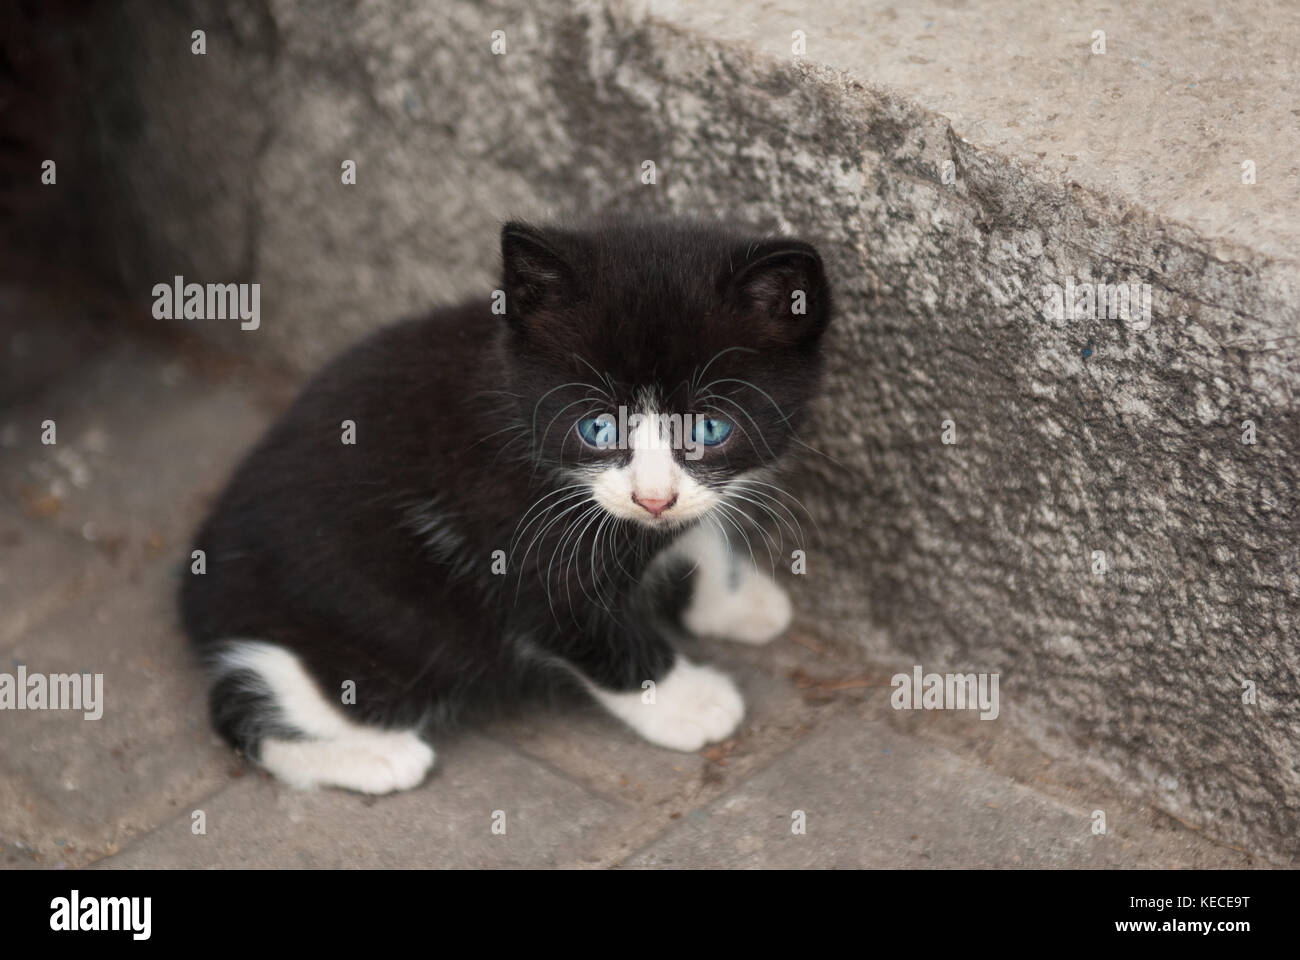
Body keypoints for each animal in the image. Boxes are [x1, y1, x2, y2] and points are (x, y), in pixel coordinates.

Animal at [180, 217, 832, 790]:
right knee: (246, 703)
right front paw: (687, 702)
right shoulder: (512, 538)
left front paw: (735, 602)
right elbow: (585, 627)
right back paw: (379, 758)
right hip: (380, 639)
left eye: (709, 430)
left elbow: (698, 528)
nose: (652, 498)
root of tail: (199, 590)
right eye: (597, 428)